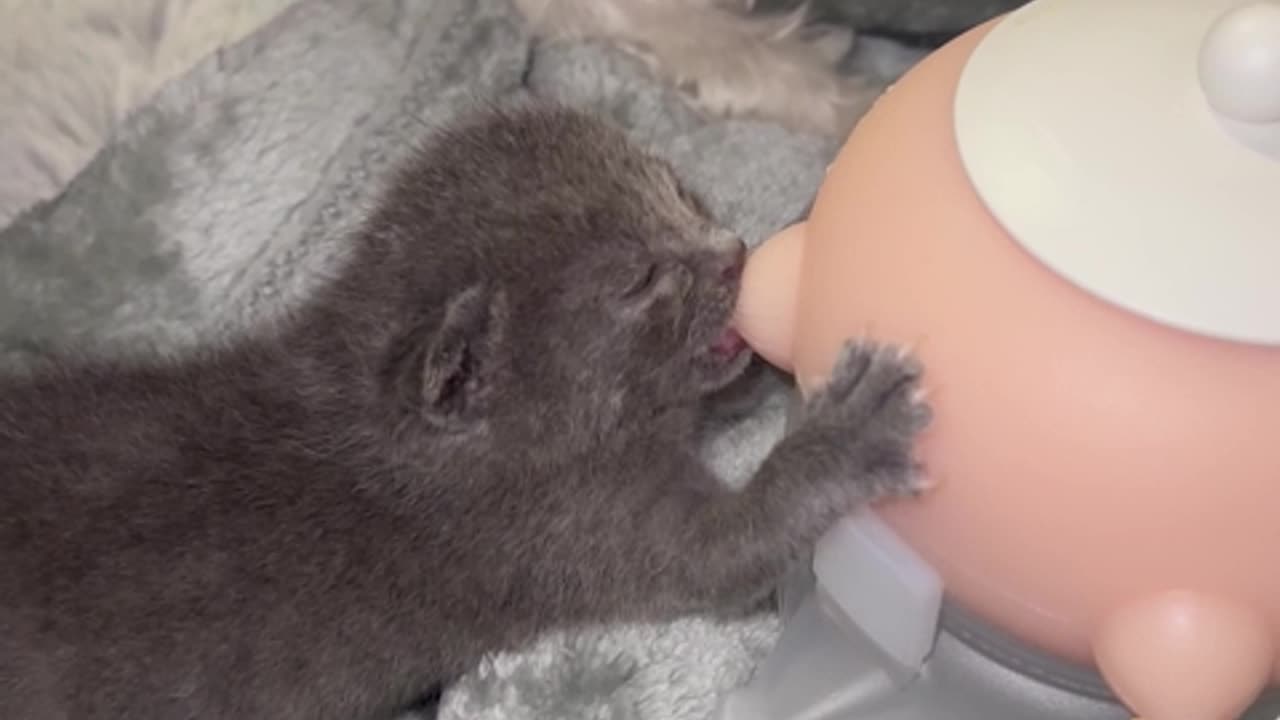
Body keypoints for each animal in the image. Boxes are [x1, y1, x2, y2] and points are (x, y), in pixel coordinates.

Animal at [0, 103, 931, 712]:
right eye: (637, 280)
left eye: (680, 193)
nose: (734, 252)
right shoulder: (560, 534)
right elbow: (727, 548)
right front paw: (851, 431)